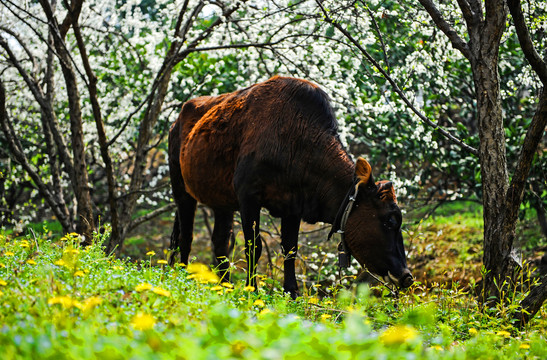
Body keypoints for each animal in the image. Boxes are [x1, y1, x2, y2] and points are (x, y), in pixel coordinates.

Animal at [169, 76, 414, 298]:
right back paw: (183, 276)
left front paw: (292, 292)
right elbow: (253, 246)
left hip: (222, 202)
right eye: (390, 220)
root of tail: (178, 119)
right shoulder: (248, 196)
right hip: (181, 190)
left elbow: (290, 249)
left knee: (220, 242)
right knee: (185, 237)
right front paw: (252, 290)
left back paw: (224, 287)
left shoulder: (293, 205)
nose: (407, 276)